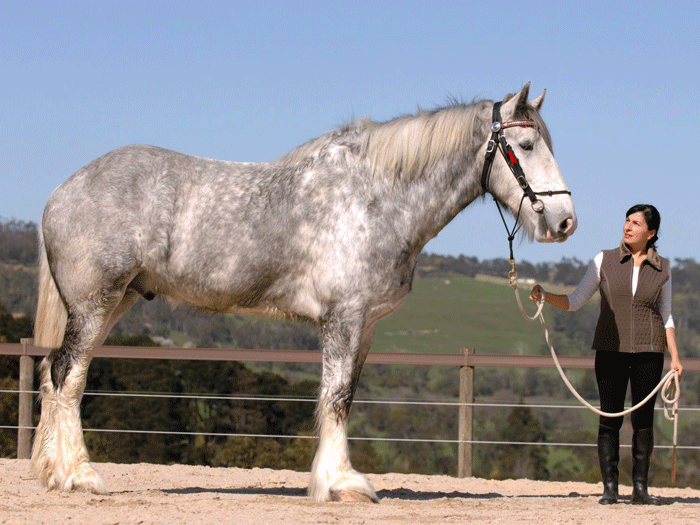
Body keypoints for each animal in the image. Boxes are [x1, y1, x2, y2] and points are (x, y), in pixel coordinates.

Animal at [32, 84, 576, 502]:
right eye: (526, 145)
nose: (565, 222)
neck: (376, 195)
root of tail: (62, 191)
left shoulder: (365, 325)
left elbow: (346, 396)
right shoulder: (343, 317)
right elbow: (334, 398)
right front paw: (342, 484)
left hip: (116, 300)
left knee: (55, 376)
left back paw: (56, 473)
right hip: (96, 303)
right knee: (68, 377)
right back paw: (79, 476)